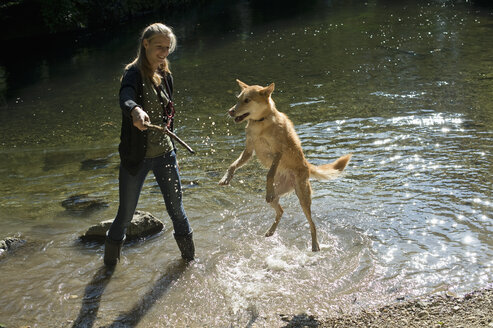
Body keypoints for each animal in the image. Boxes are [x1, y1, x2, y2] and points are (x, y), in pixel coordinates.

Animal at [218, 80, 350, 251]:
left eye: (247, 100)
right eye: (238, 99)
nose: (230, 111)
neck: (260, 123)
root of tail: (306, 166)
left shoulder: (278, 153)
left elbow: (269, 173)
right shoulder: (249, 151)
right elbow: (232, 165)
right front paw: (226, 178)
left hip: (303, 198)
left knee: (312, 224)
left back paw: (315, 245)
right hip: (278, 195)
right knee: (281, 211)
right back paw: (270, 231)